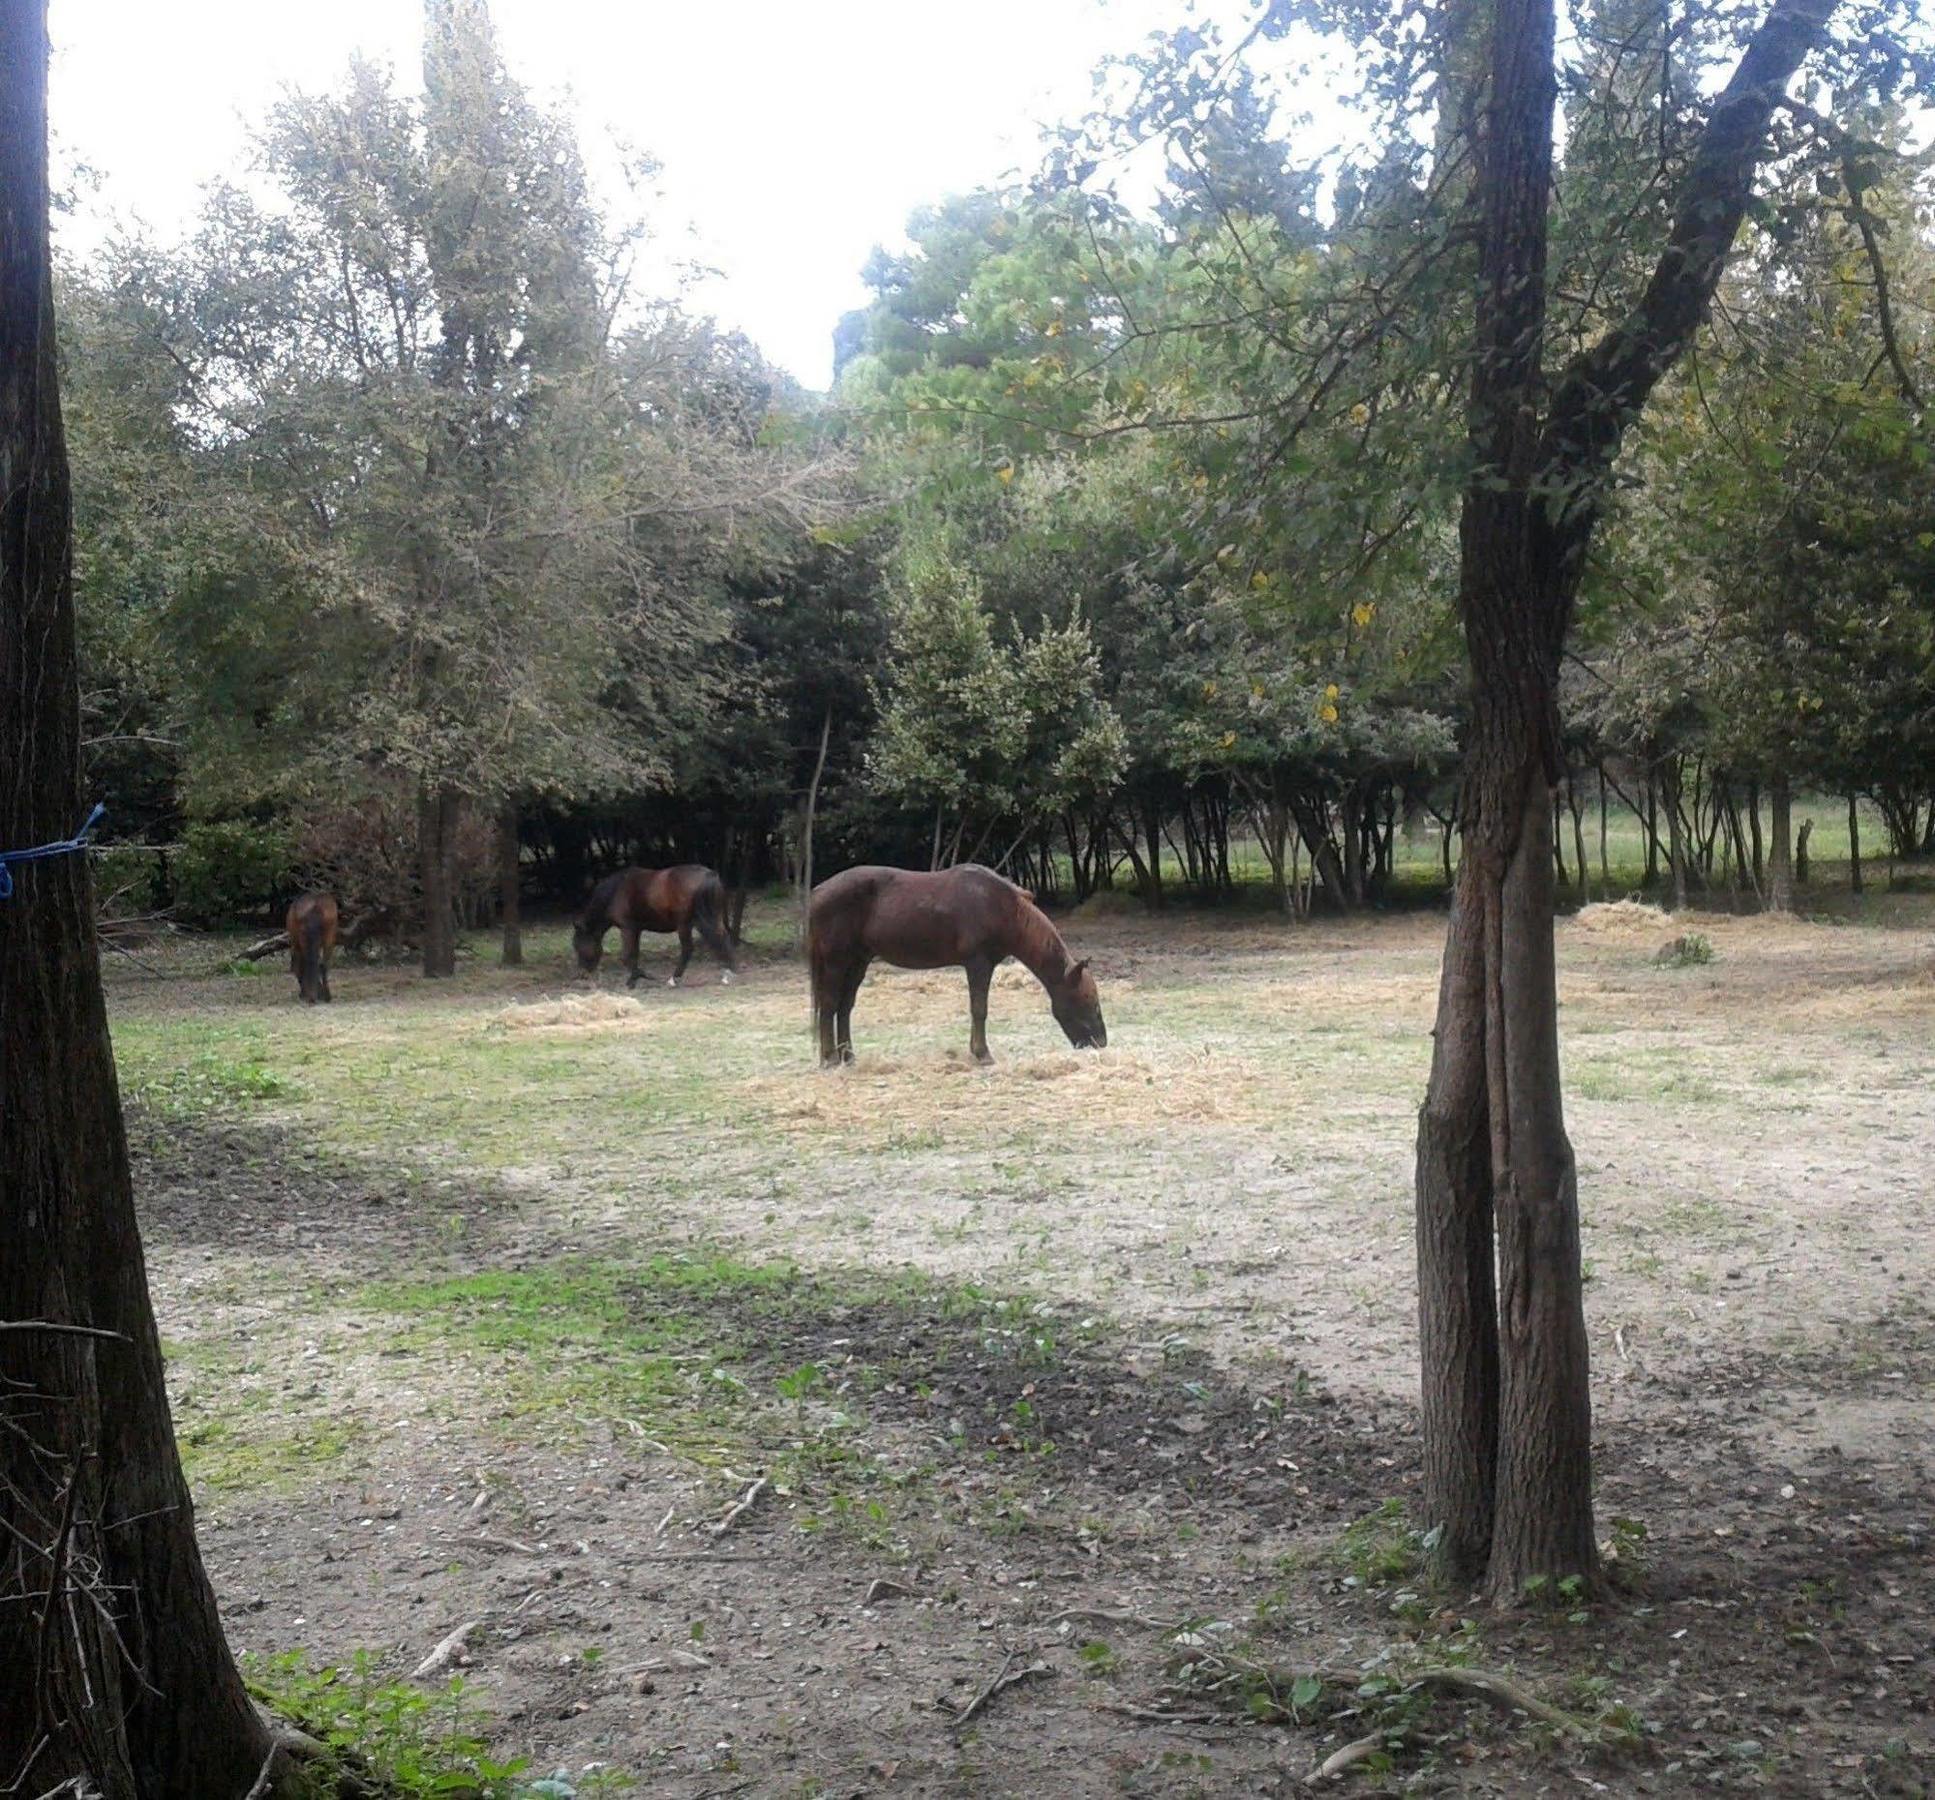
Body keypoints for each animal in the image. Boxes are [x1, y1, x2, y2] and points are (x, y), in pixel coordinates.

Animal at [568, 855, 735, 983]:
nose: (582, 974)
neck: (615, 892)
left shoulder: (627, 928)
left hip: (686, 924)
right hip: (711, 919)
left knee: (689, 948)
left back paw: (674, 978)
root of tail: (710, 875)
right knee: (723, 937)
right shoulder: (636, 929)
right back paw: (728, 971)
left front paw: (636, 978)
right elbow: (634, 953)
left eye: (578, 945)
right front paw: (637, 976)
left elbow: (627, 956)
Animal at [804, 859, 1106, 1060]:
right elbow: (979, 1009)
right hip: (836, 962)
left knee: (844, 1007)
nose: (1101, 1042)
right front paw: (982, 1054)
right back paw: (830, 1058)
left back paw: (848, 1056)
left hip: (858, 962)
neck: (1002, 907)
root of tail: (817, 892)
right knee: (830, 1005)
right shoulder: (978, 964)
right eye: (1088, 1001)